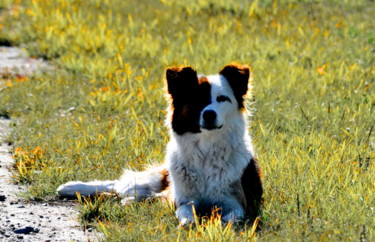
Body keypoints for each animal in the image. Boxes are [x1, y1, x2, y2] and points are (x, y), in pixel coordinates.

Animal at [58, 63, 264, 227]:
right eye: (195, 100)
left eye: (222, 99)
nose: (209, 114)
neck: (206, 150)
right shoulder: (183, 200)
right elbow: (185, 211)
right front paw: (189, 221)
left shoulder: (237, 203)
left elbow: (231, 217)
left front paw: (217, 223)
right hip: (156, 179)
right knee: (119, 185)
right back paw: (71, 187)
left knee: (141, 195)